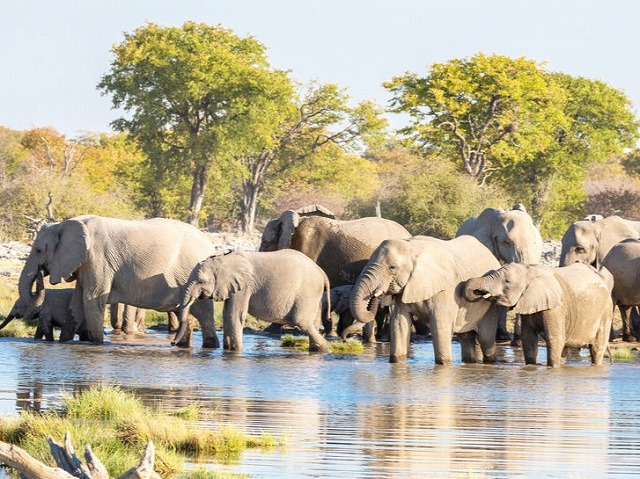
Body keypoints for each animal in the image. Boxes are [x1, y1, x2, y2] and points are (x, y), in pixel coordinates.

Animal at [18, 216, 219, 346]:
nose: (39, 272)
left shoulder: (98, 258)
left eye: (38, 250)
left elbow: (92, 299)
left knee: (204, 314)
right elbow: (76, 304)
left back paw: (210, 347)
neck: (65, 224)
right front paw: (64, 342)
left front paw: (97, 344)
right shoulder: (84, 263)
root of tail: (210, 243)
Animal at [172, 251, 332, 352]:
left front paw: (235, 350)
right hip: (314, 294)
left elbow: (234, 315)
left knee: (302, 322)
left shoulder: (245, 286)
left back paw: (326, 350)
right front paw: (228, 349)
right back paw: (317, 350)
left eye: (200, 281)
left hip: (307, 292)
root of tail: (322, 272)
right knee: (313, 322)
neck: (223, 259)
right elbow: (227, 314)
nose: (173, 343)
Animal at [348, 235, 502, 364]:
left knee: (485, 338)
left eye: (392, 268)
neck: (412, 247)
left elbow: (440, 327)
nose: (375, 294)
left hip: (489, 305)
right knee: (466, 338)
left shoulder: (446, 290)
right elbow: (399, 324)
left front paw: (443, 365)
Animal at [464, 262, 616, 368]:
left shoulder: (556, 307)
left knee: (597, 348)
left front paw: (553, 369)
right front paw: (532, 367)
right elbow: (529, 338)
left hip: (606, 310)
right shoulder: (528, 302)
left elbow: (554, 338)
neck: (529, 270)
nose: (478, 292)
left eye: (507, 282)